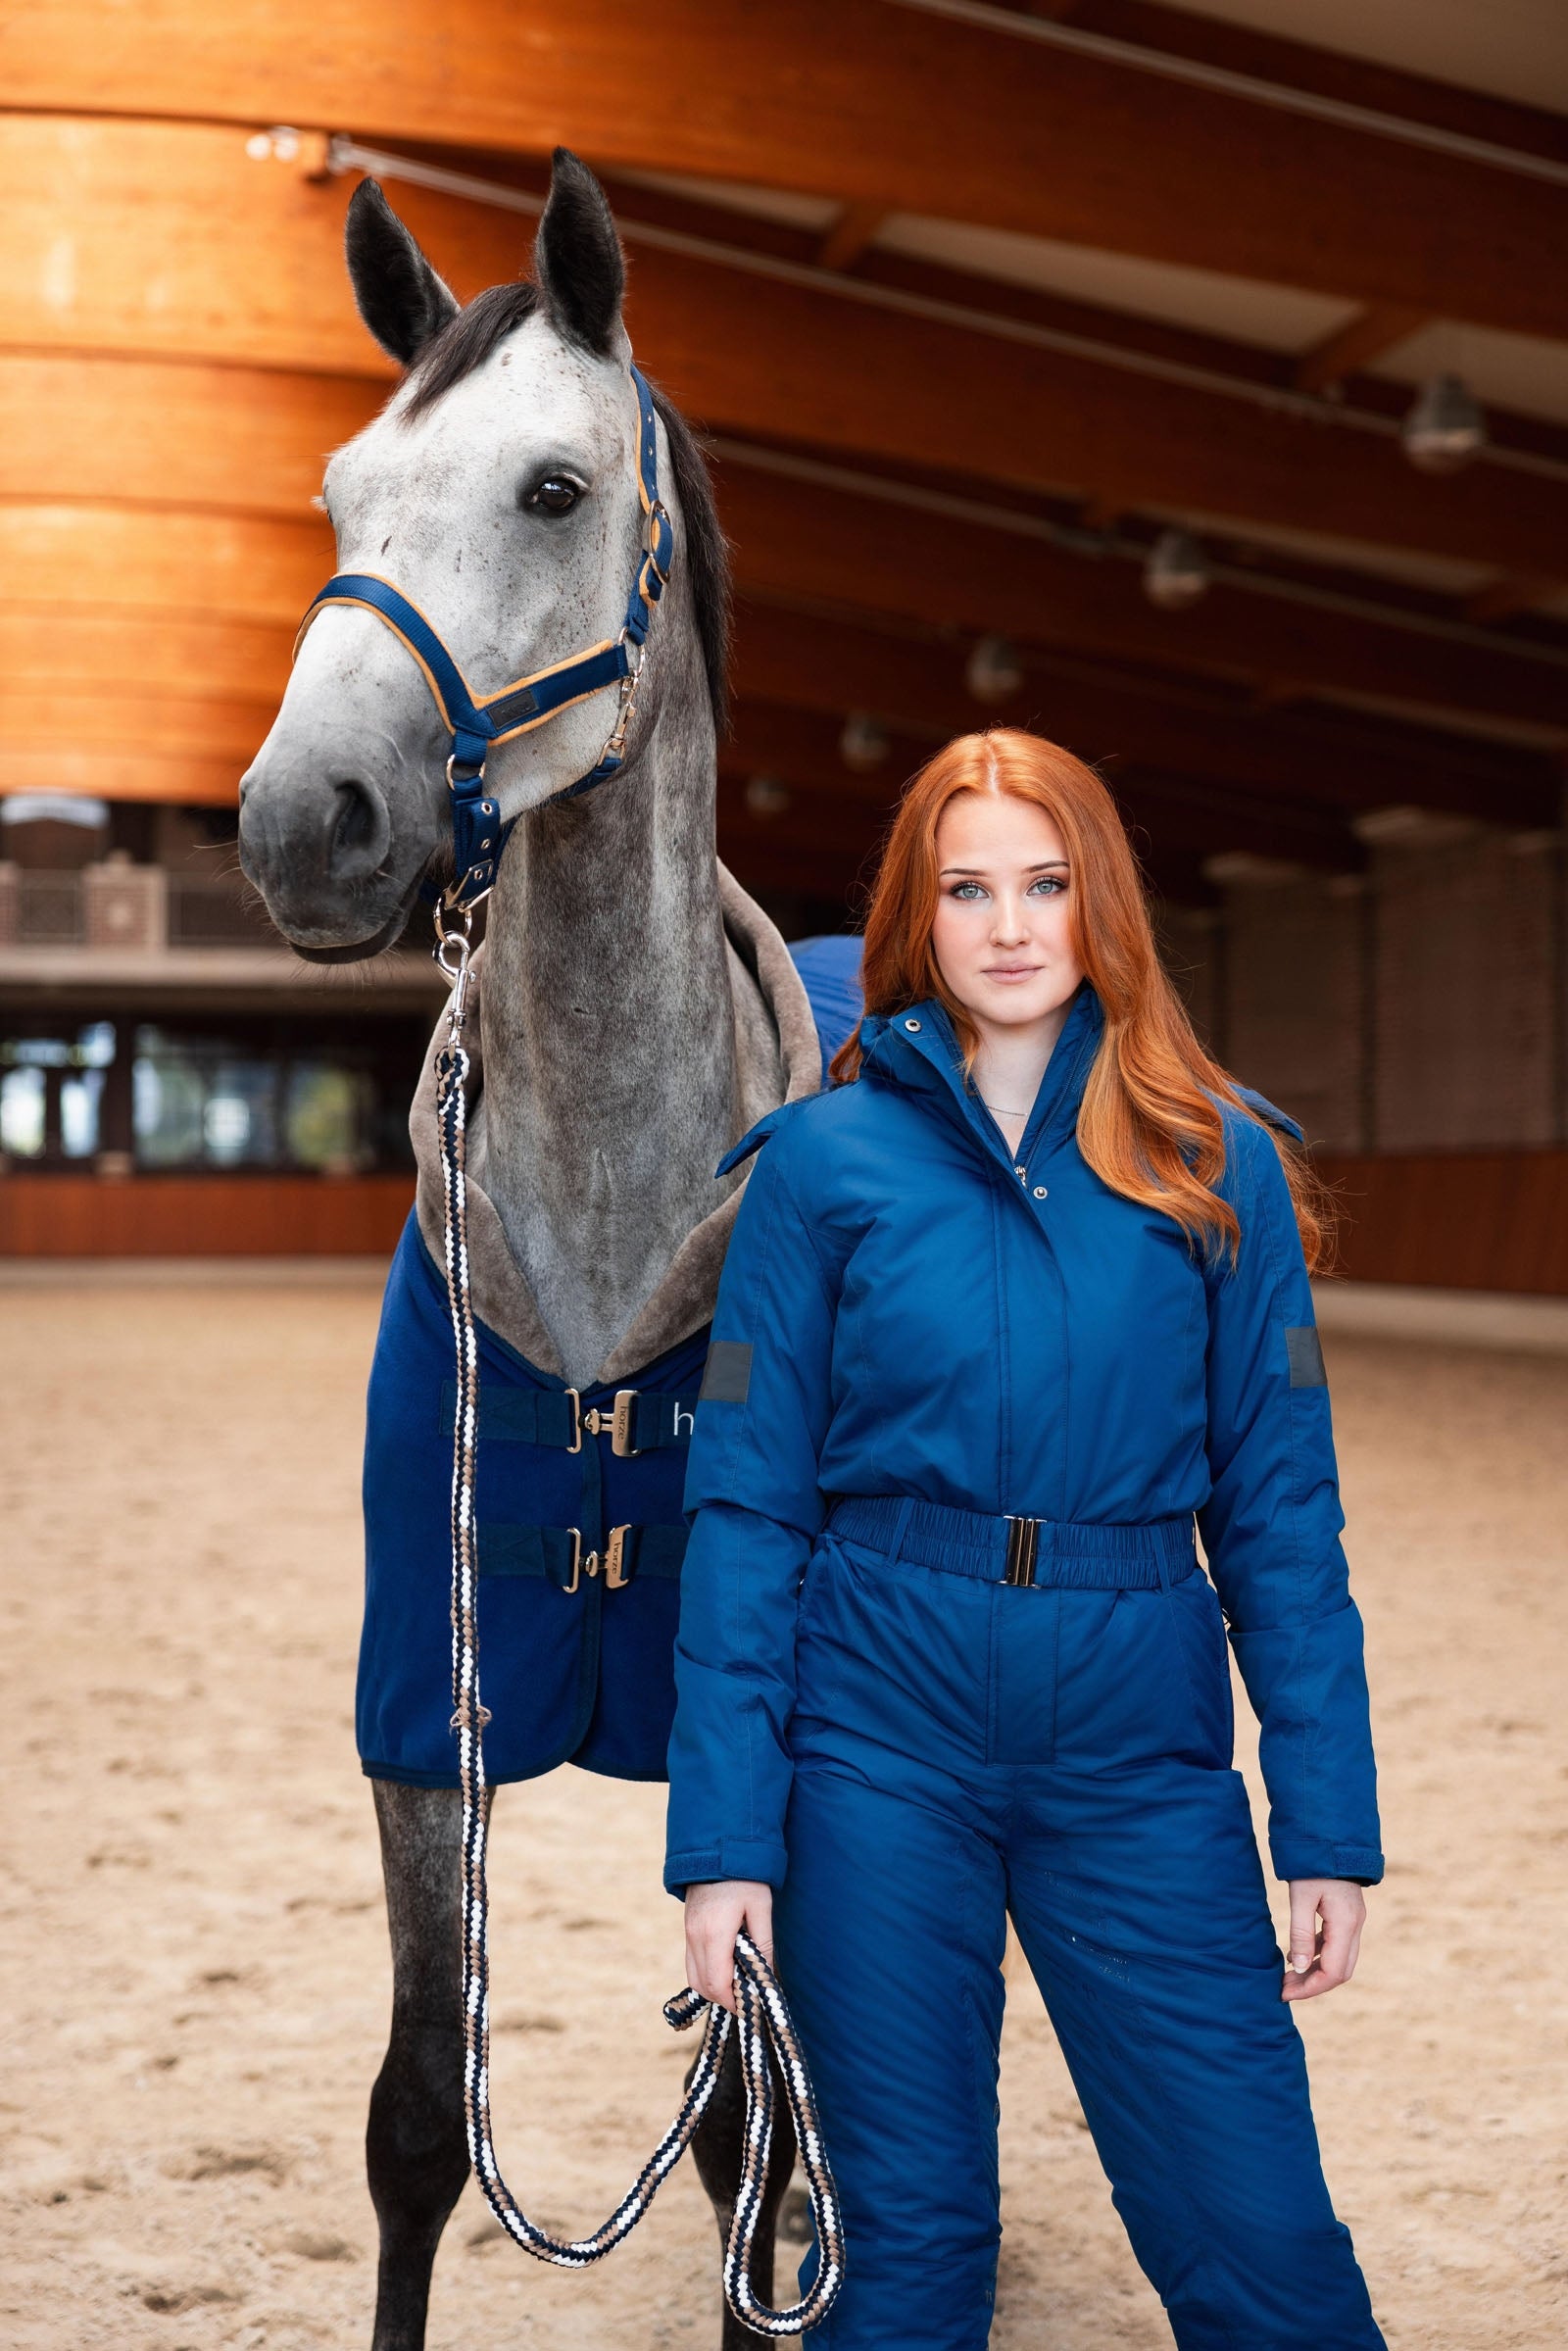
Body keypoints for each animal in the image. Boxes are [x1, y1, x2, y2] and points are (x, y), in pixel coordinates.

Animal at [238, 150, 841, 2351]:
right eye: (341, 493)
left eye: (555, 488)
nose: (299, 819)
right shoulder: (427, 1709)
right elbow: (425, 2113)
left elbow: (757, 2134)